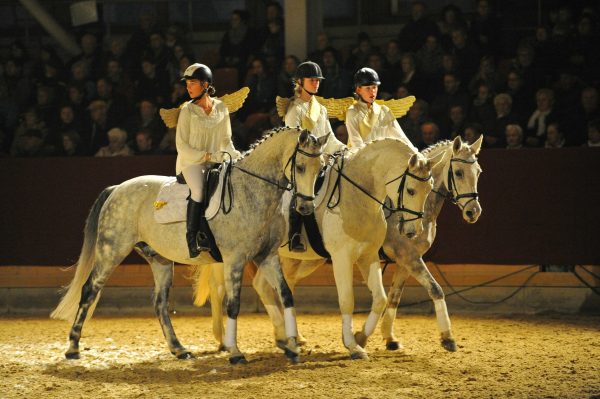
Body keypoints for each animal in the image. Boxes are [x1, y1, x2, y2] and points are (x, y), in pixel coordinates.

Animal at [51, 128, 328, 366]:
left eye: (321, 168)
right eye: (300, 167)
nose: (305, 208)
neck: (252, 192)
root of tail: (117, 188)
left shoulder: (267, 257)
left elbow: (286, 294)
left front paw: (292, 347)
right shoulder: (235, 259)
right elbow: (233, 304)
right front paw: (236, 353)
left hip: (160, 260)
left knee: (160, 303)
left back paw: (179, 349)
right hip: (111, 251)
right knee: (89, 290)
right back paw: (73, 348)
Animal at [195, 139, 442, 360]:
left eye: (429, 188)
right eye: (410, 190)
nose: (412, 230)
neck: (358, 195)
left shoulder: (370, 256)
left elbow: (382, 299)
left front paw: (361, 337)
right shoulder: (345, 257)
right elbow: (347, 300)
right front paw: (353, 345)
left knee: (264, 287)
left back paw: (283, 338)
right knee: (224, 289)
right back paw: (230, 340)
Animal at [382, 137, 486, 354]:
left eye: (479, 171)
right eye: (458, 172)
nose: (473, 211)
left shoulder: (405, 262)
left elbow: (394, 297)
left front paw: (390, 338)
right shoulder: (409, 257)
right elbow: (436, 289)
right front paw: (448, 337)